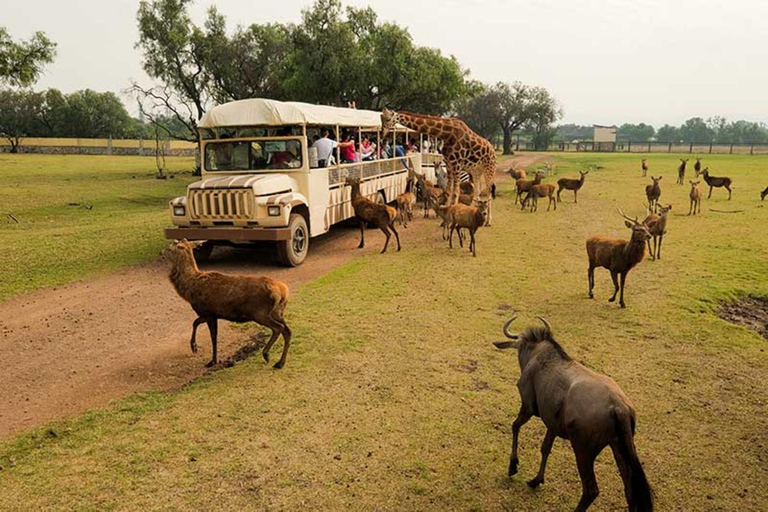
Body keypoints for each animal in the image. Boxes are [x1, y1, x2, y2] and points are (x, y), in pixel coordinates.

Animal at [165, 240, 292, 368]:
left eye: (169, 248)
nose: (162, 253)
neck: (189, 288)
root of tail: (283, 292)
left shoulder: (207, 311)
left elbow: (211, 335)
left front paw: (211, 359)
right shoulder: (211, 314)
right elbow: (196, 323)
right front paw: (195, 348)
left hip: (259, 312)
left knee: (279, 328)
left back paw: (266, 354)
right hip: (277, 312)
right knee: (288, 331)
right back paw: (280, 363)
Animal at [492, 316, 656, 512]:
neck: (541, 355)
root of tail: (619, 408)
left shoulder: (528, 407)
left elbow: (515, 426)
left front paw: (513, 466)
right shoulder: (552, 423)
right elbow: (545, 448)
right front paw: (536, 480)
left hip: (583, 451)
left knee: (591, 490)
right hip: (619, 448)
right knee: (630, 490)